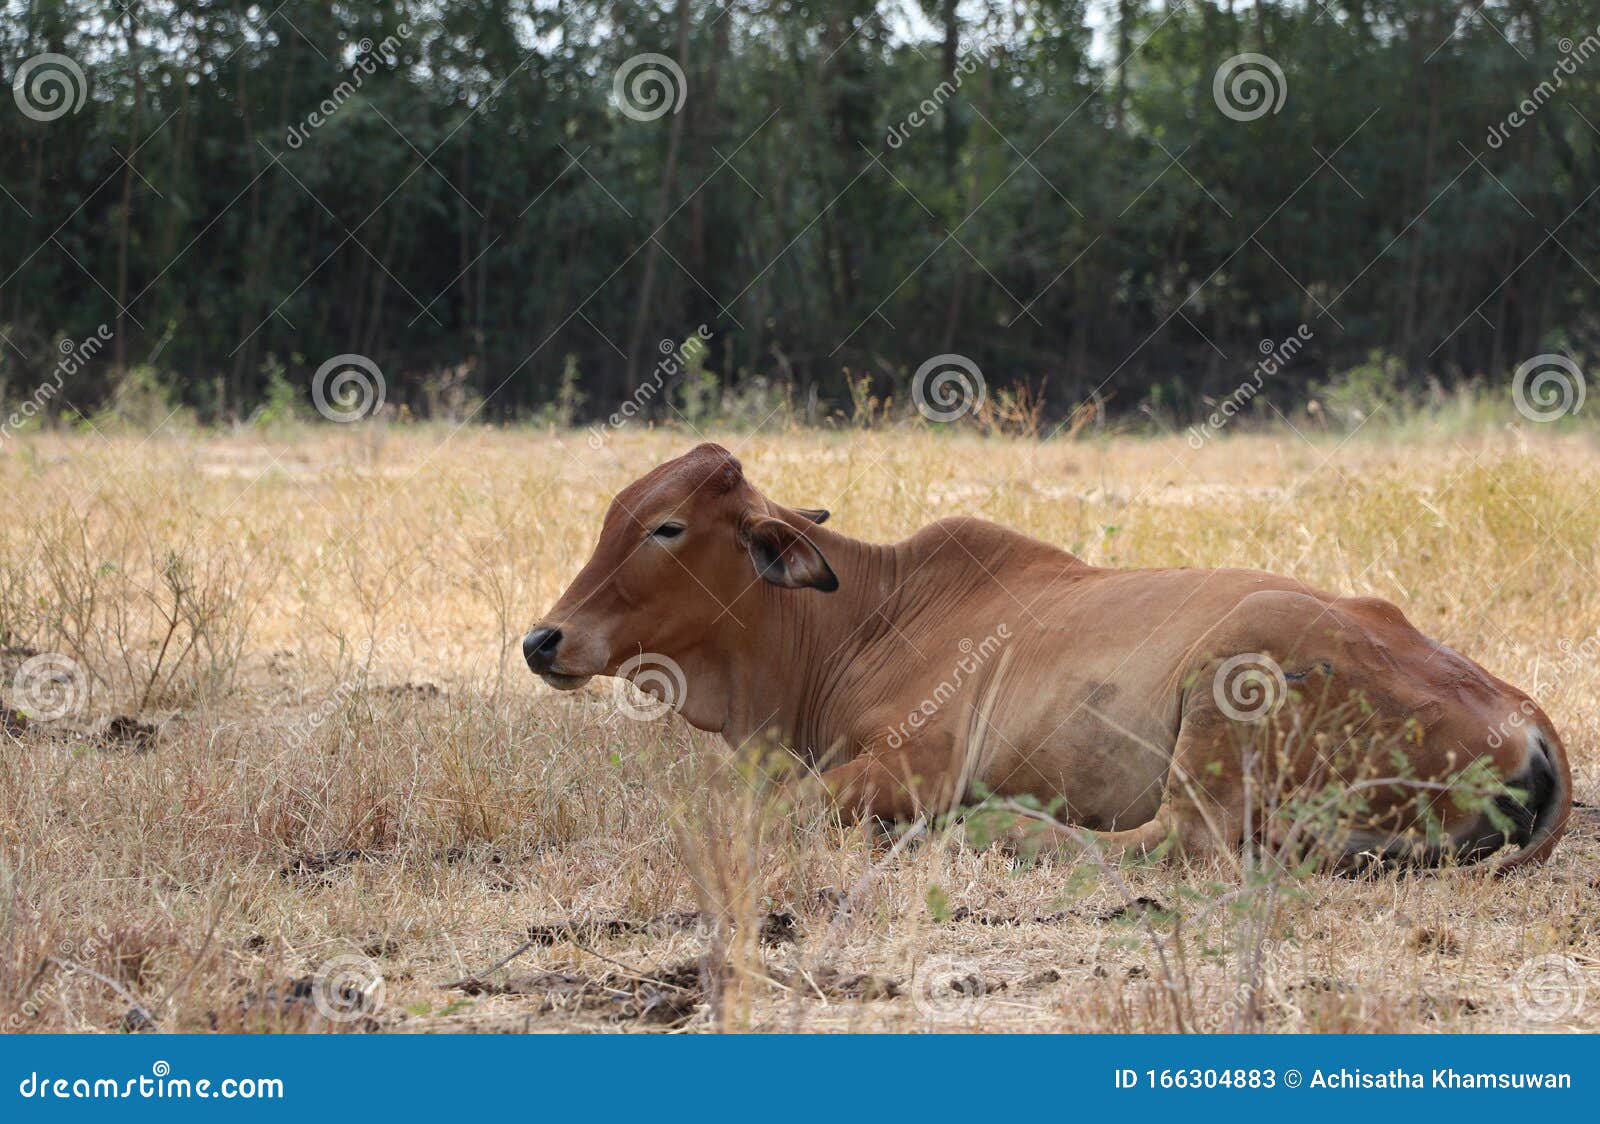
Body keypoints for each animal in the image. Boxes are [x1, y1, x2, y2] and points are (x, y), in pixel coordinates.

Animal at [524, 443, 1571, 869]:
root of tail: (1524, 716)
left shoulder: (914, 767)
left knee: (1180, 844)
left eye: (666, 525)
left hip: (1231, 676)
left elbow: (782, 807)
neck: (858, 619)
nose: (544, 639)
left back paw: (1007, 831)